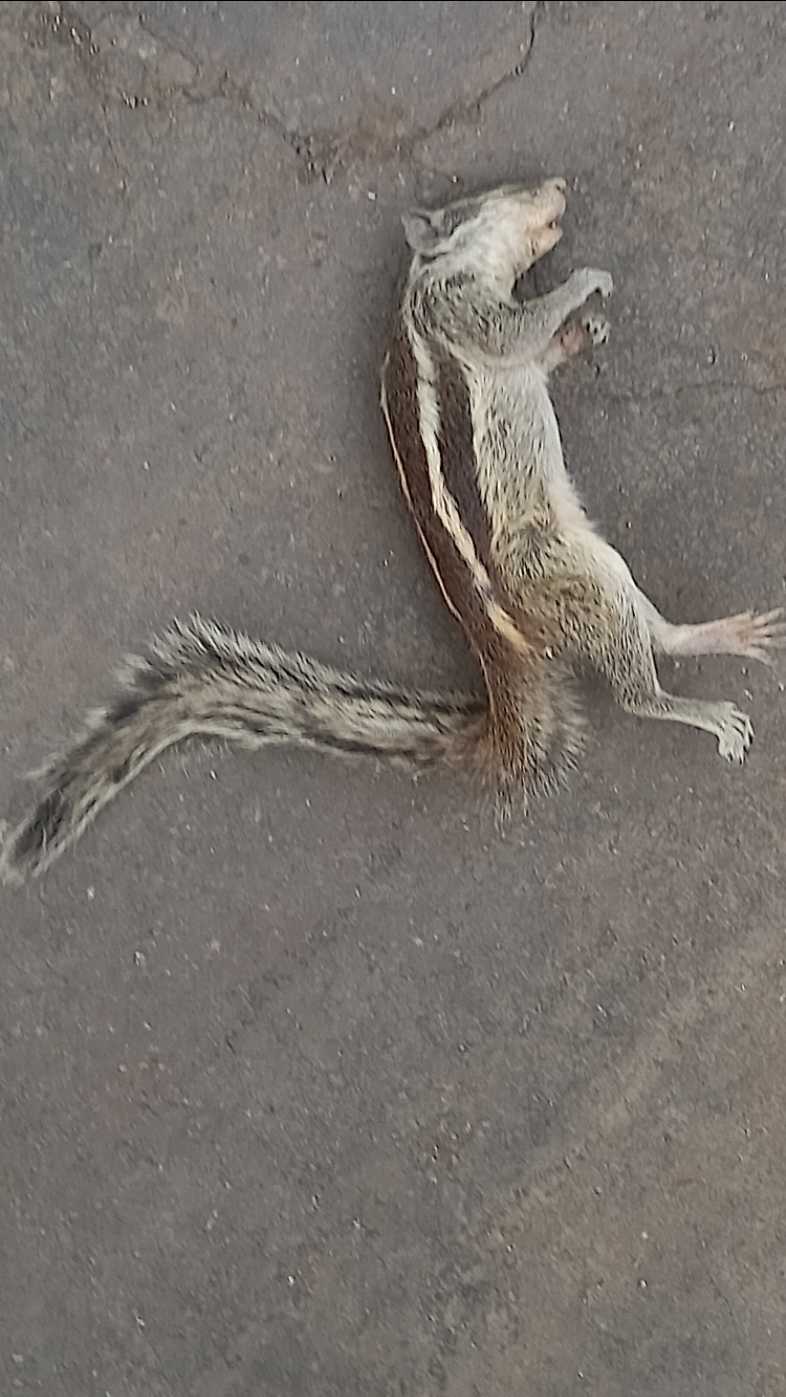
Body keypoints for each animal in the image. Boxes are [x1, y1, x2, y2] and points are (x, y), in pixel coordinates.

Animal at [2, 176, 783, 885]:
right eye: (495, 193)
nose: (558, 183)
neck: (433, 275)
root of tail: (502, 651)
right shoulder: (459, 310)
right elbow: (513, 328)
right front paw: (582, 287)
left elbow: (537, 349)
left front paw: (581, 332)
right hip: (568, 578)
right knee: (633, 694)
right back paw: (701, 710)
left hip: (600, 564)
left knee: (659, 635)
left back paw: (723, 634)